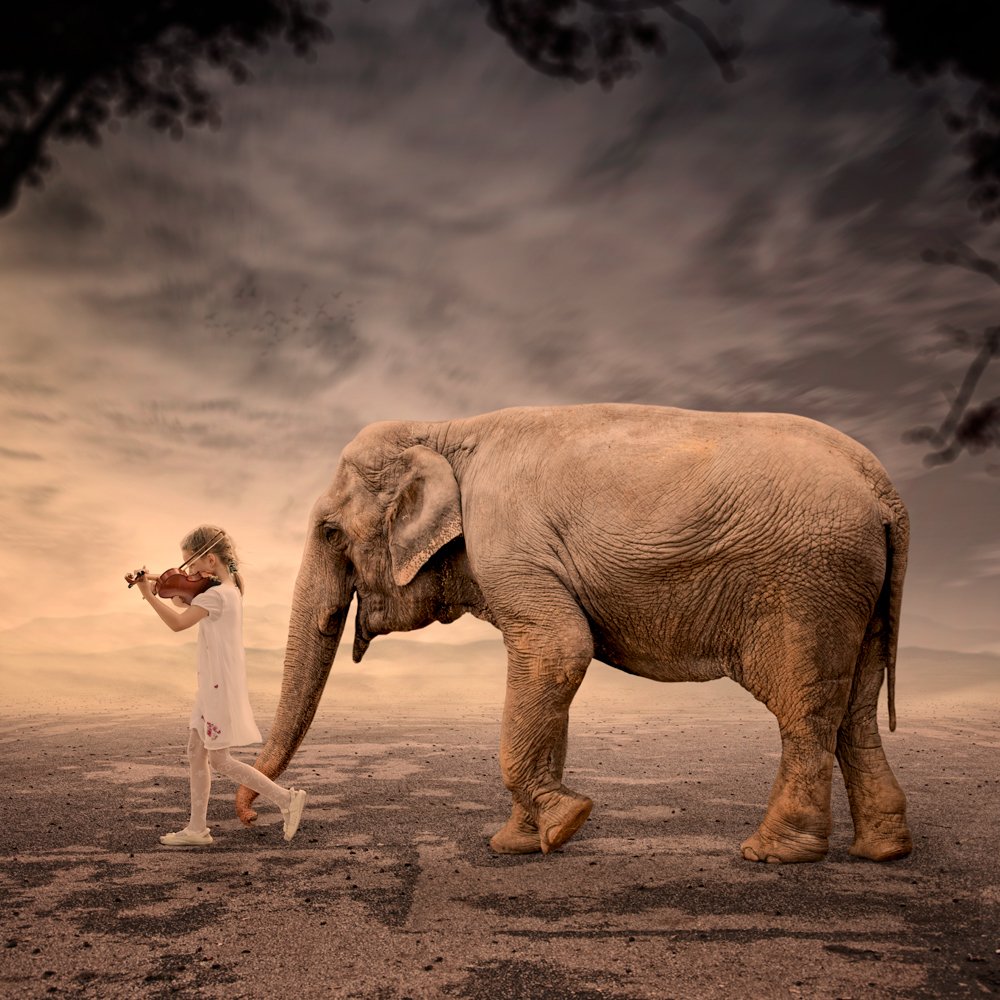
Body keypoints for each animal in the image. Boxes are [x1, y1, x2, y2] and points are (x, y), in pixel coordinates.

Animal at [236, 402, 916, 864]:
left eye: (329, 531)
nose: (247, 814)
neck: (446, 429)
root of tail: (885, 490)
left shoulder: (508, 543)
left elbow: (560, 649)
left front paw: (564, 823)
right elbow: (555, 662)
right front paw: (520, 843)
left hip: (809, 587)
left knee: (806, 710)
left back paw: (770, 853)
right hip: (856, 591)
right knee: (854, 710)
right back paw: (881, 852)